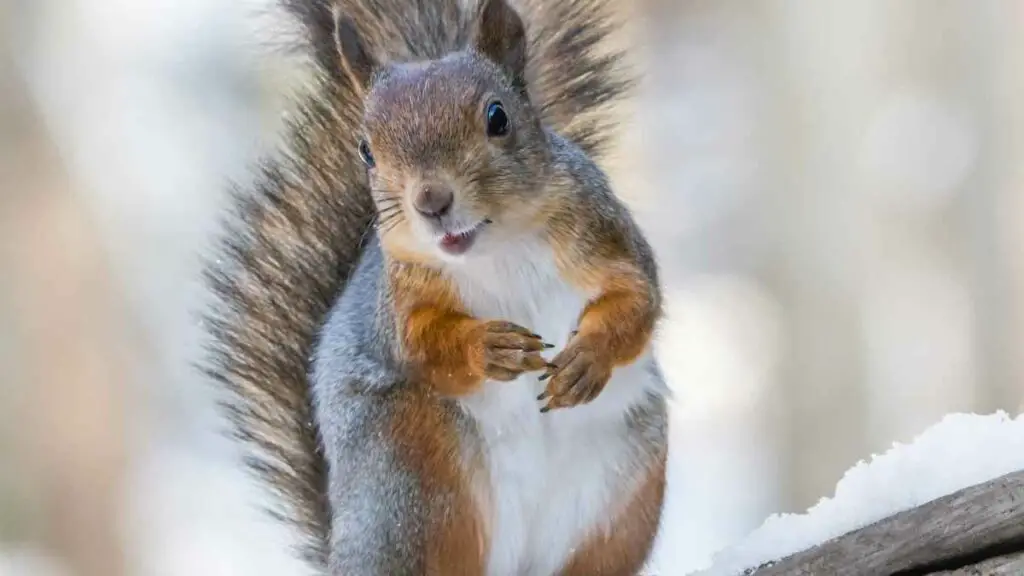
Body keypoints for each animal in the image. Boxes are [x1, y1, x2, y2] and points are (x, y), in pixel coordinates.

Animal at [202, 0, 669, 574]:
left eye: (498, 118)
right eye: (365, 150)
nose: (431, 201)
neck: (499, 247)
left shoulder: (607, 240)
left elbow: (638, 300)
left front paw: (588, 358)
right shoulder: (402, 297)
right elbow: (421, 346)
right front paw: (486, 346)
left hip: (619, 505)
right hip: (414, 484)